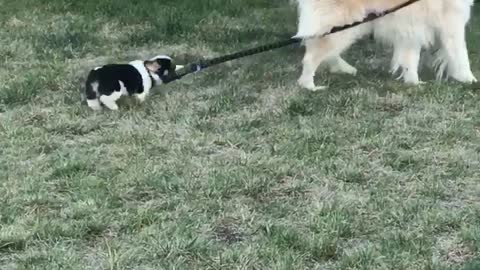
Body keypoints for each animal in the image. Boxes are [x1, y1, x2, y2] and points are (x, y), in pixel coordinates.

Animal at [294, 0, 478, 90]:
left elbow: (411, 60)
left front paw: (413, 83)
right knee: (311, 57)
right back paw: (310, 86)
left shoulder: (411, 28)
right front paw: (470, 80)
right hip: (340, 27)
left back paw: (344, 69)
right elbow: (461, 56)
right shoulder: (451, 24)